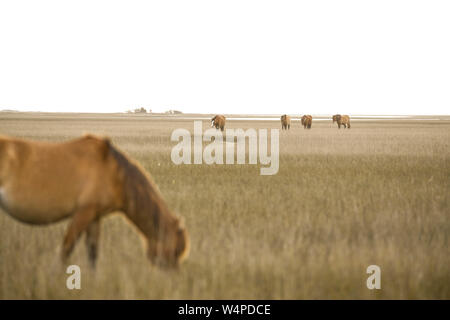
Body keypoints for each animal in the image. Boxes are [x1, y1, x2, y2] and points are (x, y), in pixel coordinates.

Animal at [0, 135, 189, 270]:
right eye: (175, 251)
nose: (174, 277)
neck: (116, 174)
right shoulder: (83, 214)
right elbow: (65, 250)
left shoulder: (94, 217)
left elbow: (92, 255)